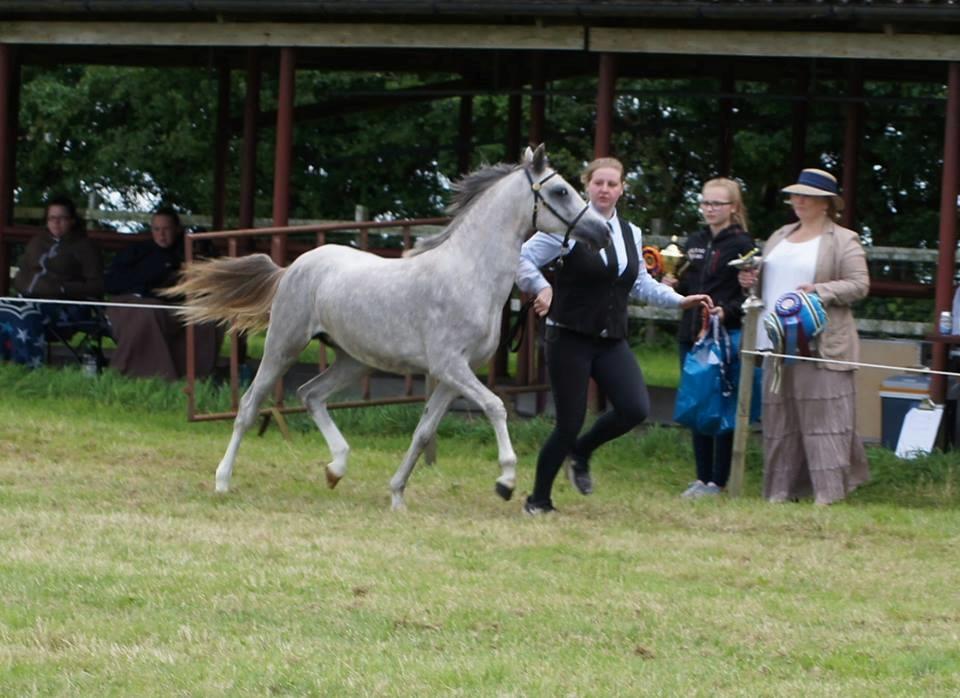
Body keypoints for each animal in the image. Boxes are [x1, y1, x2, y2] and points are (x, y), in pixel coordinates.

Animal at [168, 145, 610, 509]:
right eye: (560, 192)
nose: (603, 232)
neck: (469, 273)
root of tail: (291, 267)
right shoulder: (451, 366)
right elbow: (495, 406)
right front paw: (505, 481)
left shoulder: (452, 377)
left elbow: (424, 431)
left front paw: (397, 494)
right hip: (283, 345)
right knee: (249, 406)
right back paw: (223, 481)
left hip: (353, 360)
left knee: (311, 394)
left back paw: (335, 469)